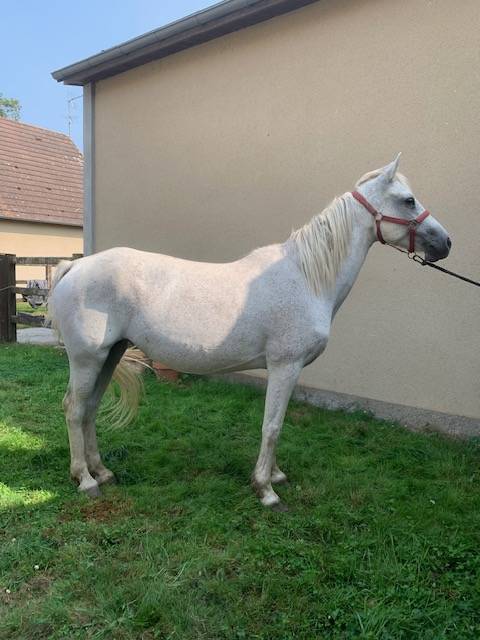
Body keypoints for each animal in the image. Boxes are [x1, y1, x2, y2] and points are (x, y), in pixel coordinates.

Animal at [47, 156, 450, 510]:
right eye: (408, 200)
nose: (445, 243)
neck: (306, 278)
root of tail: (76, 267)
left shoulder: (287, 370)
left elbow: (277, 423)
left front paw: (276, 475)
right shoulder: (285, 366)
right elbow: (272, 426)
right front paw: (266, 489)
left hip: (110, 355)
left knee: (90, 409)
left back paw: (103, 472)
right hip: (87, 359)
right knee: (74, 408)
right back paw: (85, 480)